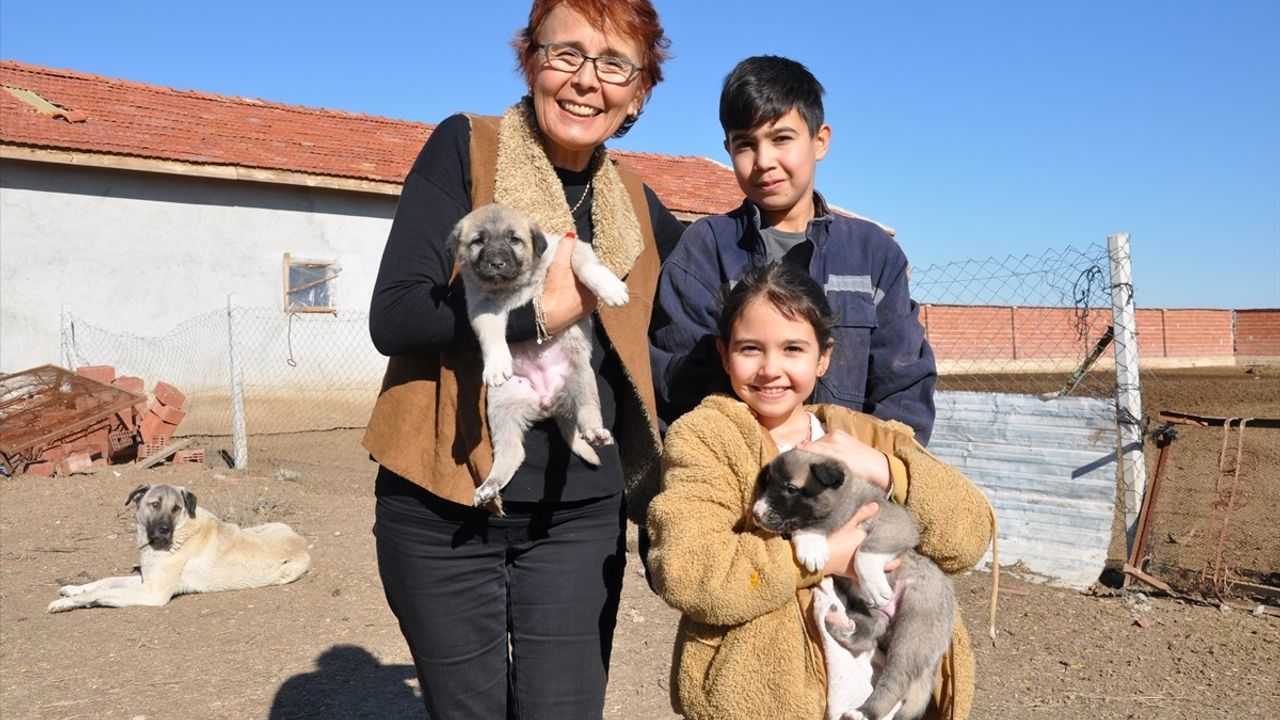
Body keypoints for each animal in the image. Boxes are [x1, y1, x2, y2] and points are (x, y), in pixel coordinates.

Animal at [48, 481, 313, 609]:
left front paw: (64, 604)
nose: (165, 529)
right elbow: (104, 582)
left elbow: (101, 593)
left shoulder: (151, 593)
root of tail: (302, 542)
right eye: (155, 504)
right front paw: (73, 589)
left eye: (176, 508)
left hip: (284, 573)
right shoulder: (146, 579)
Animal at [450, 204, 629, 512]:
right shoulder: (482, 308)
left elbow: (587, 267)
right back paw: (489, 486)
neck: (514, 287)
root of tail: (547, 404)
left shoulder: (570, 249)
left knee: (588, 414)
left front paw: (611, 287)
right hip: (501, 408)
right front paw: (497, 364)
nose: (496, 263)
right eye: (478, 241)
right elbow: (491, 335)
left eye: (514, 240)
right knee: (512, 453)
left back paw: (595, 432)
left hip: (582, 379)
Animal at [752, 448, 957, 717]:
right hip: (878, 615)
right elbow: (804, 529)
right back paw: (843, 625)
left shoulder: (896, 525)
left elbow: (864, 551)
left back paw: (865, 712)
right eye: (766, 484)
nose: (755, 513)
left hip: (915, 627)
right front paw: (810, 544)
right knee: (869, 635)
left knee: (897, 680)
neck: (844, 503)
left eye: (791, 489)